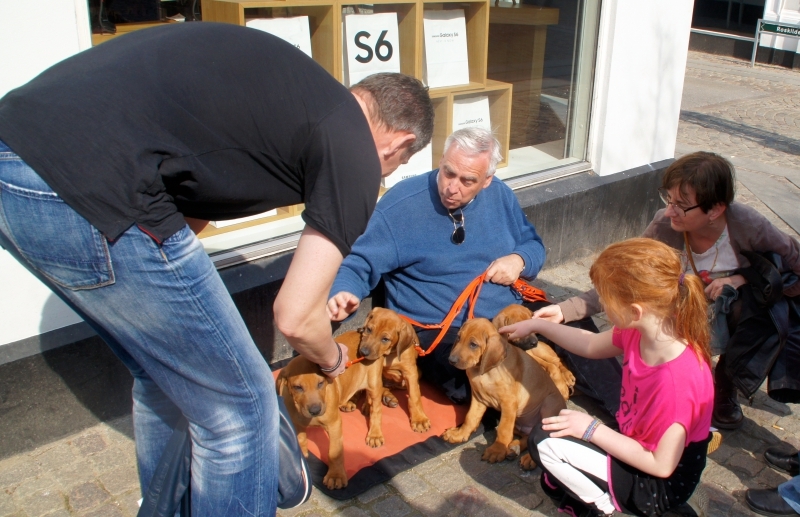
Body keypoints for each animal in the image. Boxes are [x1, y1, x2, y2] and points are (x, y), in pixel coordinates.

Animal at [276, 328, 386, 490]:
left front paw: (336, 476)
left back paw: (375, 434)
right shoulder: (296, 423)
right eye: (298, 387)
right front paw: (302, 457)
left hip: (374, 382)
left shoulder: (334, 424)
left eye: (320, 383)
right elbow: (300, 439)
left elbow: (334, 452)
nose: (315, 410)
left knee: (376, 409)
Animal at [440, 316, 564, 466]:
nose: (451, 360)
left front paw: (497, 450)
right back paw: (514, 448)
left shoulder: (509, 403)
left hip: (549, 406)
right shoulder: (478, 398)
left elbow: (503, 429)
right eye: (458, 337)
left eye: (473, 344)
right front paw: (460, 434)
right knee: (527, 436)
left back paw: (530, 458)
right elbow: (470, 418)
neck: (485, 372)